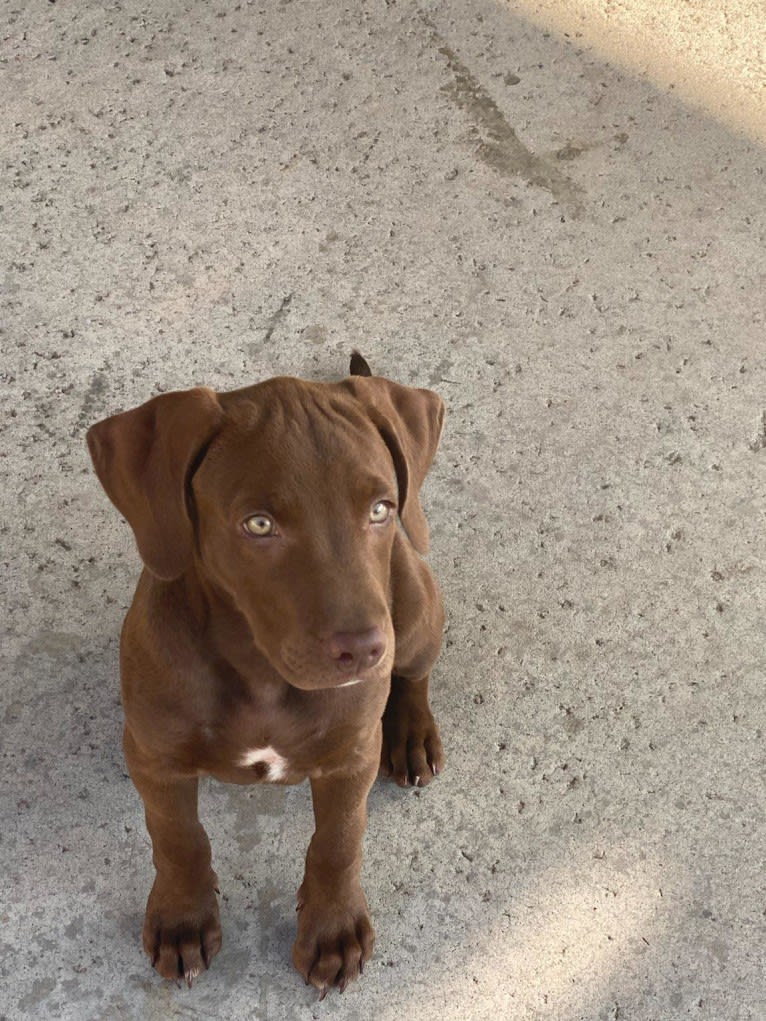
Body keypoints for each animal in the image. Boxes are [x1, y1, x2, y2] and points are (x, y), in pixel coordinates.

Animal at [85, 353, 443, 996]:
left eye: (380, 508)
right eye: (258, 524)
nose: (365, 650)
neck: (260, 673)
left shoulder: (351, 755)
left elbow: (338, 841)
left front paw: (332, 929)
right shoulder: (154, 758)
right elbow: (176, 837)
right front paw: (182, 918)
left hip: (416, 609)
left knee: (416, 671)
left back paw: (411, 733)